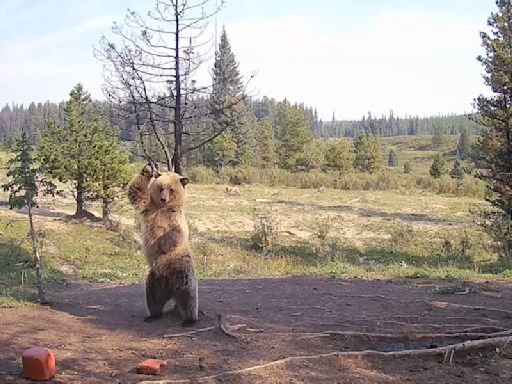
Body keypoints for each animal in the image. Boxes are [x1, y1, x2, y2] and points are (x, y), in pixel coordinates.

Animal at [128, 164, 198, 326]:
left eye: (171, 189)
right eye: (161, 188)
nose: (163, 198)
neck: (162, 208)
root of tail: (171, 291)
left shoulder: (175, 218)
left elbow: (175, 233)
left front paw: (163, 246)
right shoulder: (148, 207)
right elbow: (136, 192)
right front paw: (147, 170)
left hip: (181, 269)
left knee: (188, 294)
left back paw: (190, 319)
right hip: (155, 279)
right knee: (153, 297)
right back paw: (152, 315)